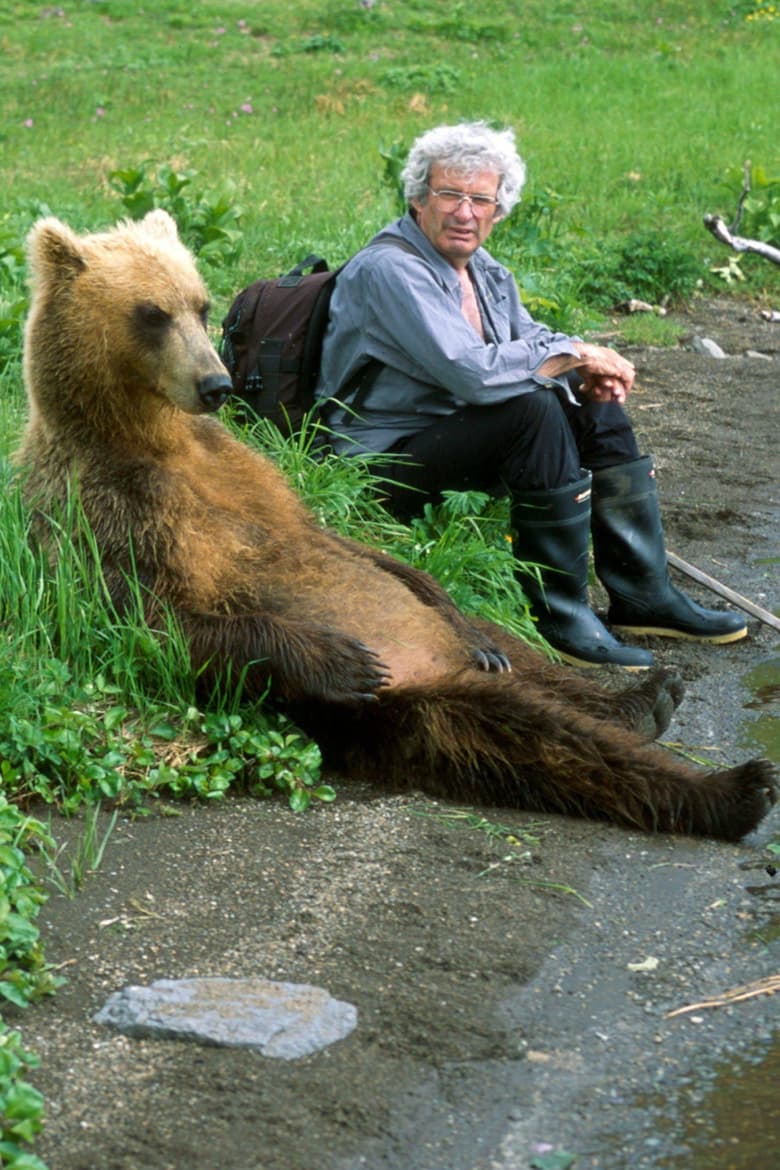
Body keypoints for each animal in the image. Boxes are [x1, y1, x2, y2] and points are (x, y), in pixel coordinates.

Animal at [15, 212, 776, 842]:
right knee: (538, 740)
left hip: (449, 651)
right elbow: (150, 623)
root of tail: (442, 671)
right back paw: (733, 786)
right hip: (414, 710)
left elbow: (336, 541)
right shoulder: (106, 511)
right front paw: (341, 658)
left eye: (200, 305)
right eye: (151, 313)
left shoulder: (247, 475)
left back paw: (640, 696)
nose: (216, 383)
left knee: (519, 651)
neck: (150, 438)